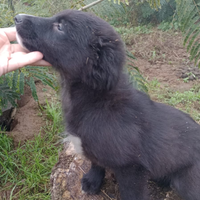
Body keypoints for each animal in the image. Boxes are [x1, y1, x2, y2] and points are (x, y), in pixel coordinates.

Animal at [14, 10, 200, 199]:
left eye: (60, 27)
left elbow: (131, 193)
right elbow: (96, 162)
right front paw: (92, 180)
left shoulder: (132, 169)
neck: (97, 100)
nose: (17, 17)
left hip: (188, 181)